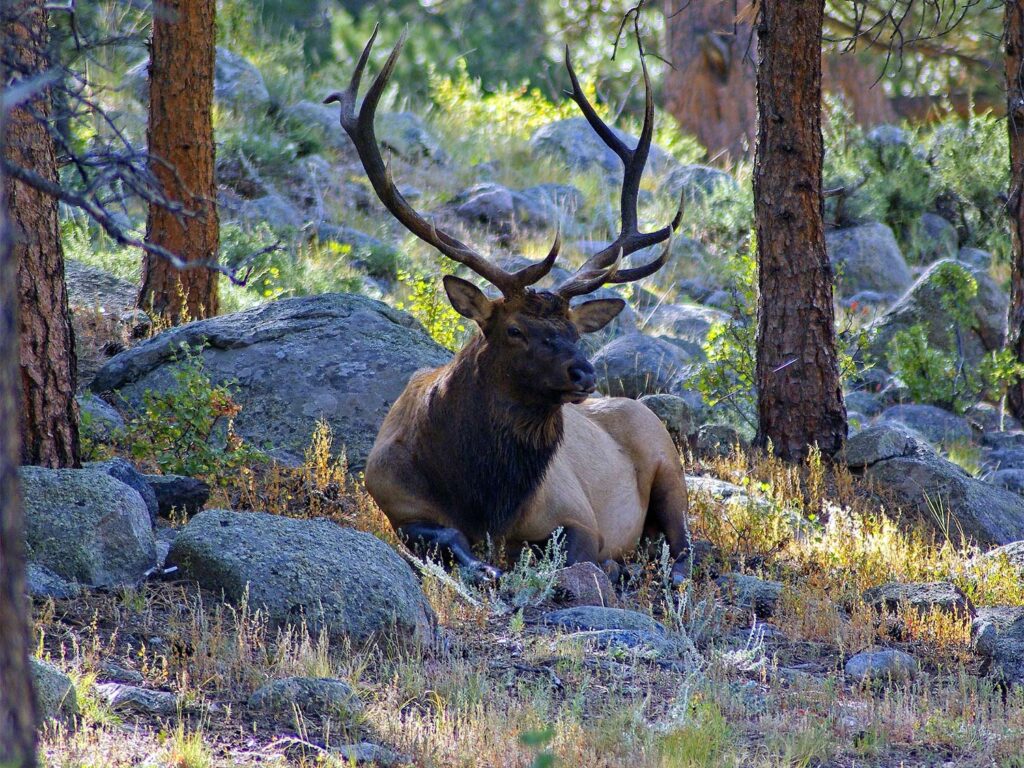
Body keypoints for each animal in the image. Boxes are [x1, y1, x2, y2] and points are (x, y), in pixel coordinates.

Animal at [325, 27, 692, 585]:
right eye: (515, 330)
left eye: (576, 332)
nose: (584, 373)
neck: (485, 498)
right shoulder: (394, 500)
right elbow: (445, 537)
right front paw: (484, 567)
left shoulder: (576, 514)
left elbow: (575, 555)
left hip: (669, 463)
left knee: (686, 544)